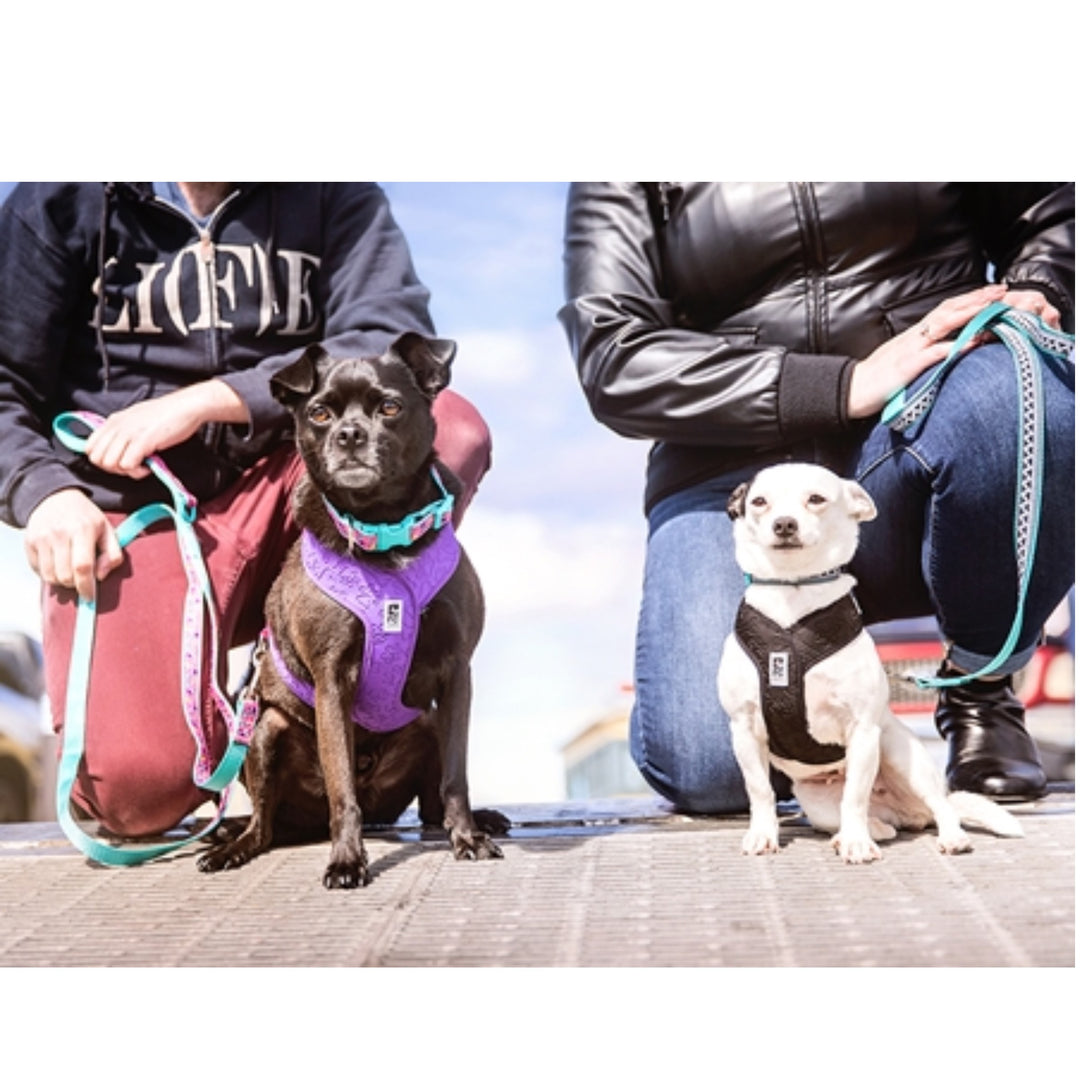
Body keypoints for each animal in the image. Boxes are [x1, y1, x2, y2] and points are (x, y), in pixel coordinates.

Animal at [198, 332, 505, 888]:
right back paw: (234, 845)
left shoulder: (456, 674)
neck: (385, 534)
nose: (349, 435)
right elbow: (342, 787)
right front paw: (346, 860)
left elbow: (456, 776)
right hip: (264, 728)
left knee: (431, 807)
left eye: (390, 406)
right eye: (319, 413)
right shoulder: (332, 679)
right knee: (265, 825)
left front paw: (468, 838)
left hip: (427, 723)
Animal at [716, 462, 1022, 863]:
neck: (793, 595)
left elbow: (855, 796)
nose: (784, 523)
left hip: (901, 756)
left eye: (816, 499)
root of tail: (908, 811)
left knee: (941, 805)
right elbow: (761, 791)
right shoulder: (745, 729)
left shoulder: (862, 731)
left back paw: (946, 836)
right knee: (873, 820)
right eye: (759, 502)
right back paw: (860, 832)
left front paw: (857, 844)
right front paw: (763, 835)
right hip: (815, 801)